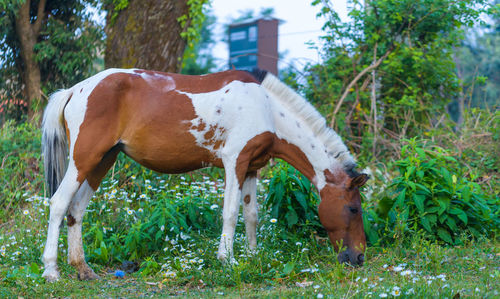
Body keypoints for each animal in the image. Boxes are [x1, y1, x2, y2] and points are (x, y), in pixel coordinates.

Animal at [42, 68, 368, 282]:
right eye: (353, 208)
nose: (359, 257)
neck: (267, 108)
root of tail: (75, 90)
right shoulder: (235, 162)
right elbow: (231, 213)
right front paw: (228, 260)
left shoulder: (252, 167)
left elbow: (251, 214)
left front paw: (252, 256)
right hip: (85, 159)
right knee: (59, 203)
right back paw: (51, 270)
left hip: (102, 161)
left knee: (76, 209)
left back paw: (82, 268)